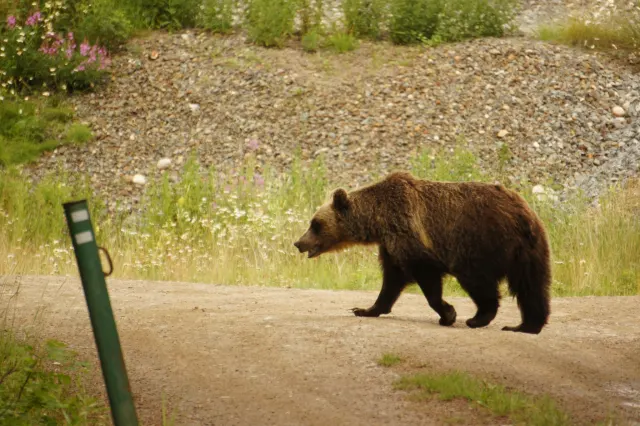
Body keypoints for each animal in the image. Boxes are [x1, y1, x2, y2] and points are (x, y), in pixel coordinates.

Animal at [293, 171, 551, 334]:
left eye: (315, 224)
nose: (298, 242)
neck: (378, 220)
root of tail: (522, 213)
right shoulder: (391, 246)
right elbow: (391, 280)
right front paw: (365, 309)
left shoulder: (409, 234)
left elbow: (425, 276)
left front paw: (448, 313)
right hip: (529, 250)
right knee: (531, 286)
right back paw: (526, 326)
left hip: (481, 241)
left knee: (479, 281)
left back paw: (478, 318)